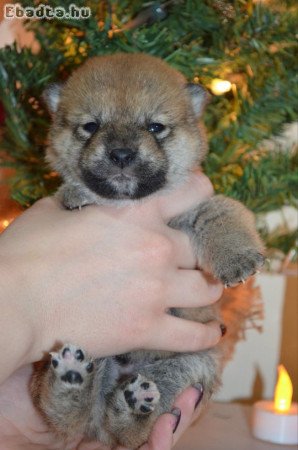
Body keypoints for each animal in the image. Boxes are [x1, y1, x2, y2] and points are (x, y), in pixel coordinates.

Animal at [31, 54, 264, 448]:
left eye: (155, 127)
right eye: (91, 126)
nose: (122, 154)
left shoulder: (198, 208)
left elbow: (224, 213)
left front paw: (237, 259)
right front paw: (76, 194)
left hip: (188, 365)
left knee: (129, 426)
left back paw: (131, 405)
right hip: (92, 356)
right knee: (67, 417)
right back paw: (71, 382)